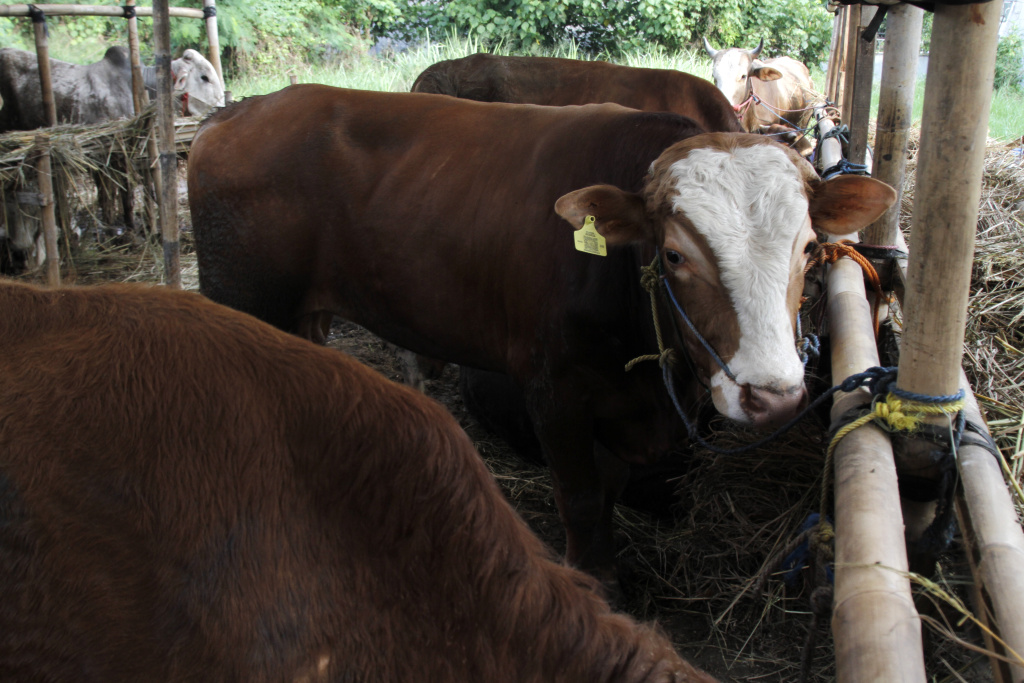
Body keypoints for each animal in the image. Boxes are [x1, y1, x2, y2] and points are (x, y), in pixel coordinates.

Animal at [188, 82, 892, 581]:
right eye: (673, 255)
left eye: (809, 249)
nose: (772, 396)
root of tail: (237, 113)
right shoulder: (554, 392)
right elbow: (579, 498)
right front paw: (598, 581)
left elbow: (610, 493)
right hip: (241, 300)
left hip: (301, 315)